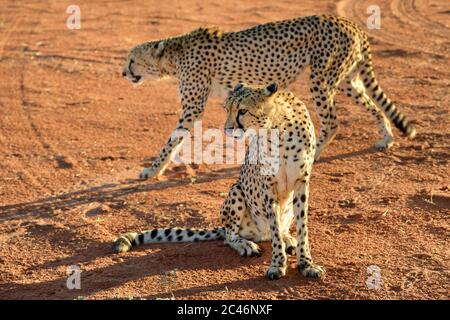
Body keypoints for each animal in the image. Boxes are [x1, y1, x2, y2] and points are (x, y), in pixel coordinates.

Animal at [112, 83, 324, 280]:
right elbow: (275, 229)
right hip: (237, 191)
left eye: (243, 111)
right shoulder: (268, 186)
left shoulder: (301, 184)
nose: (227, 129)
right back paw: (246, 245)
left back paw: (288, 239)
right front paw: (278, 264)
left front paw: (306, 264)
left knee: (279, 229)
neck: (279, 128)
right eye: (227, 109)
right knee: (231, 236)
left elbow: (302, 227)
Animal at [122, 14, 414, 180]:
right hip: (345, 80)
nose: (123, 72)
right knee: (374, 105)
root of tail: (350, 23)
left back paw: (314, 154)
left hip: (321, 79)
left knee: (332, 121)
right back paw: (387, 137)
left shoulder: (193, 107)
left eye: (132, 59)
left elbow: (172, 141)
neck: (174, 54)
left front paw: (152, 170)